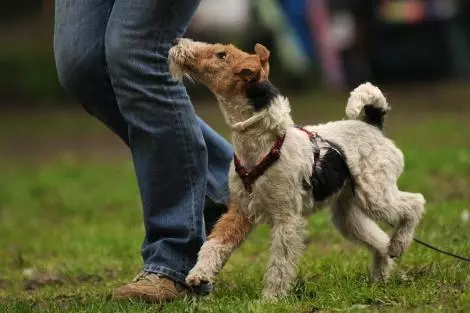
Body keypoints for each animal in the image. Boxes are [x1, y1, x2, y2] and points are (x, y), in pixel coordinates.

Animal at [168, 38, 426, 298]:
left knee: (414, 203)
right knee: (379, 240)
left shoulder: (287, 217)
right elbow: (214, 244)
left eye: (221, 55)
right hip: (347, 213)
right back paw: (380, 276)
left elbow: (279, 263)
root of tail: (373, 125)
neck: (264, 143)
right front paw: (198, 275)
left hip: (373, 195)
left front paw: (271, 298)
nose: (177, 42)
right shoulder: (240, 211)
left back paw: (399, 245)